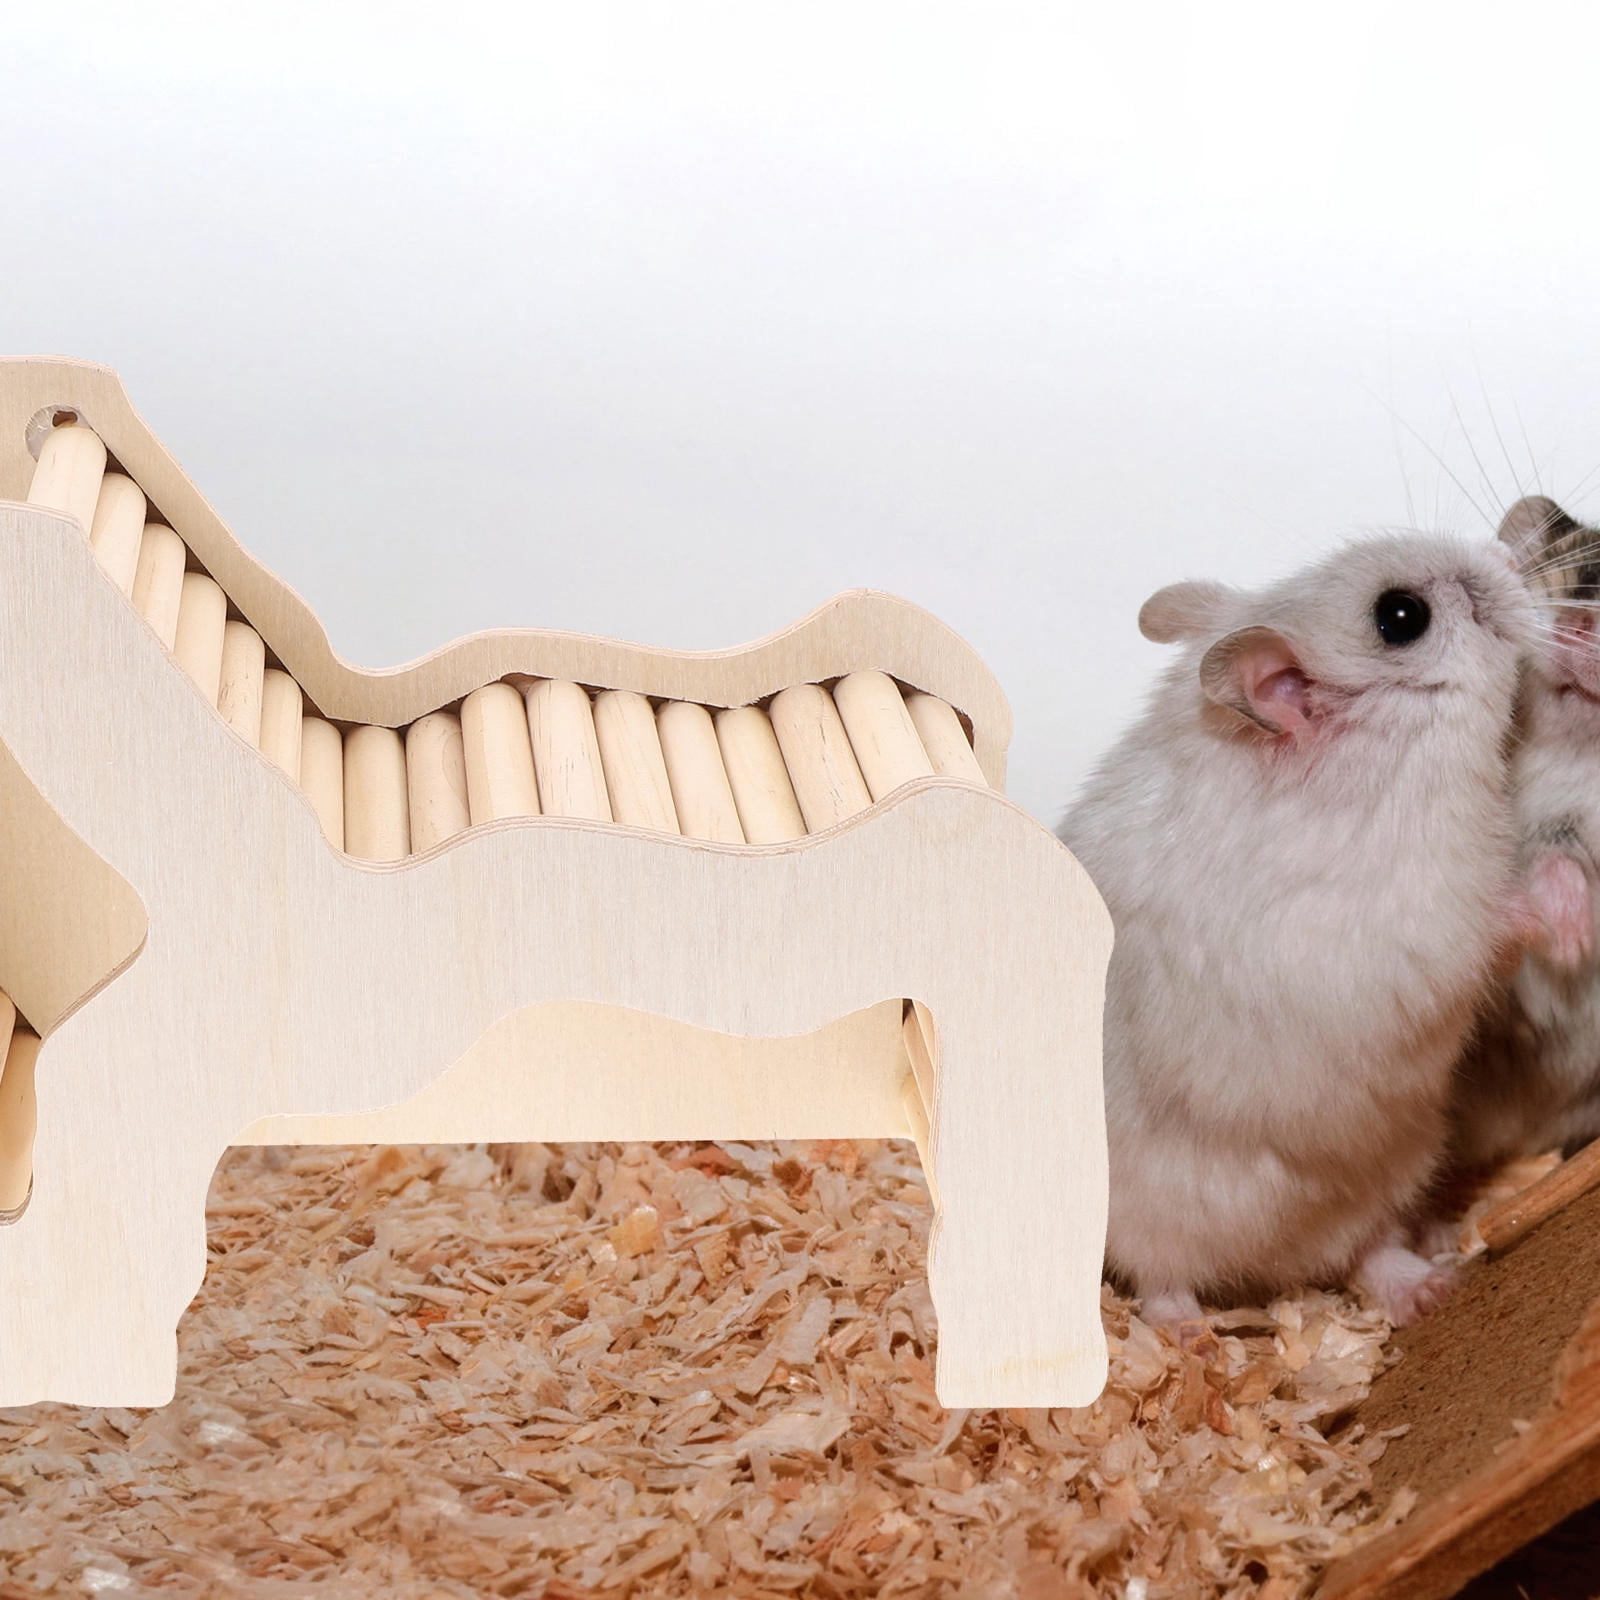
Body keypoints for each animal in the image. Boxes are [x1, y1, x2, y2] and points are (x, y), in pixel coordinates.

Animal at [1058, 533, 1534, 1336]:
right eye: (1401, 616)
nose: (1506, 554)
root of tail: (1275, 1267)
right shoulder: (1405, 933)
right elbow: (1490, 924)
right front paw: (1565, 893)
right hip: (1149, 1212)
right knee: (1162, 1278)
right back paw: (1190, 1338)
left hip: (1393, 1168)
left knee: (1371, 1251)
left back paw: (1431, 1285)